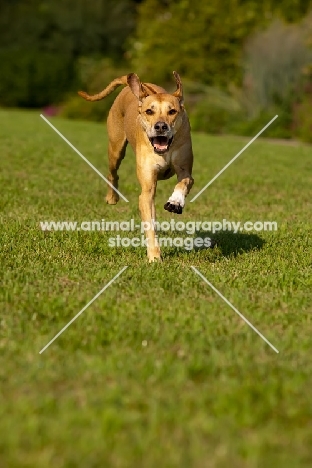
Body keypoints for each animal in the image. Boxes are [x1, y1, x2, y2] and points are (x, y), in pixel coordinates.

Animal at [78, 73, 194, 264]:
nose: (160, 126)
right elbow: (149, 221)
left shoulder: (185, 168)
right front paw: (154, 256)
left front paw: (175, 201)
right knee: (112, 173)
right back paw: (112, 197)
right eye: (149, 111)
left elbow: (184, 181)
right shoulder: (147, 191)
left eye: (172, 111)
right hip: (116, 148)